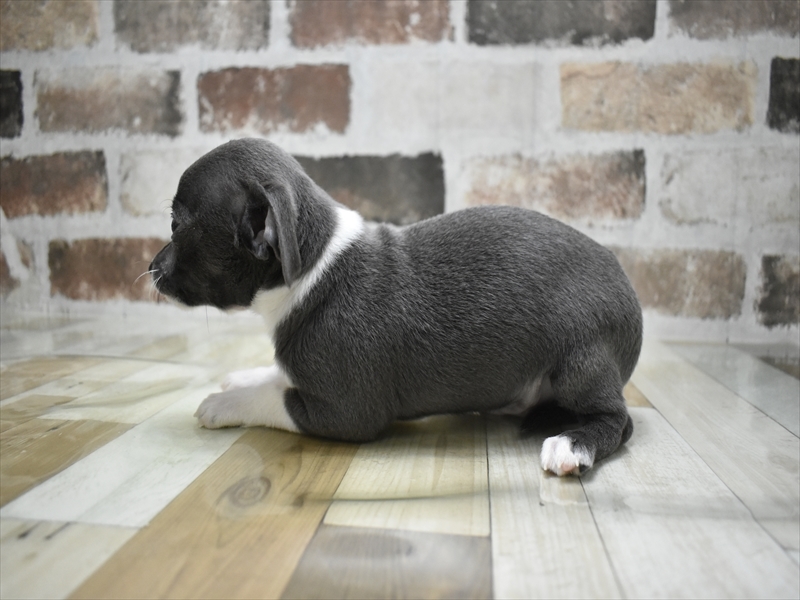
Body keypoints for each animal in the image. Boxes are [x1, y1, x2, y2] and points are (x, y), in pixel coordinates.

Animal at [150, 138, 643, 476]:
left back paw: (572, 445)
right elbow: (277, 376)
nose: (151, 267)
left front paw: (225, 402)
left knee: (618, 420)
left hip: (580, 359)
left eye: (176, 225)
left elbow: (275, 397)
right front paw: (243, 376)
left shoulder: (343, 412)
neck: (312, 265)